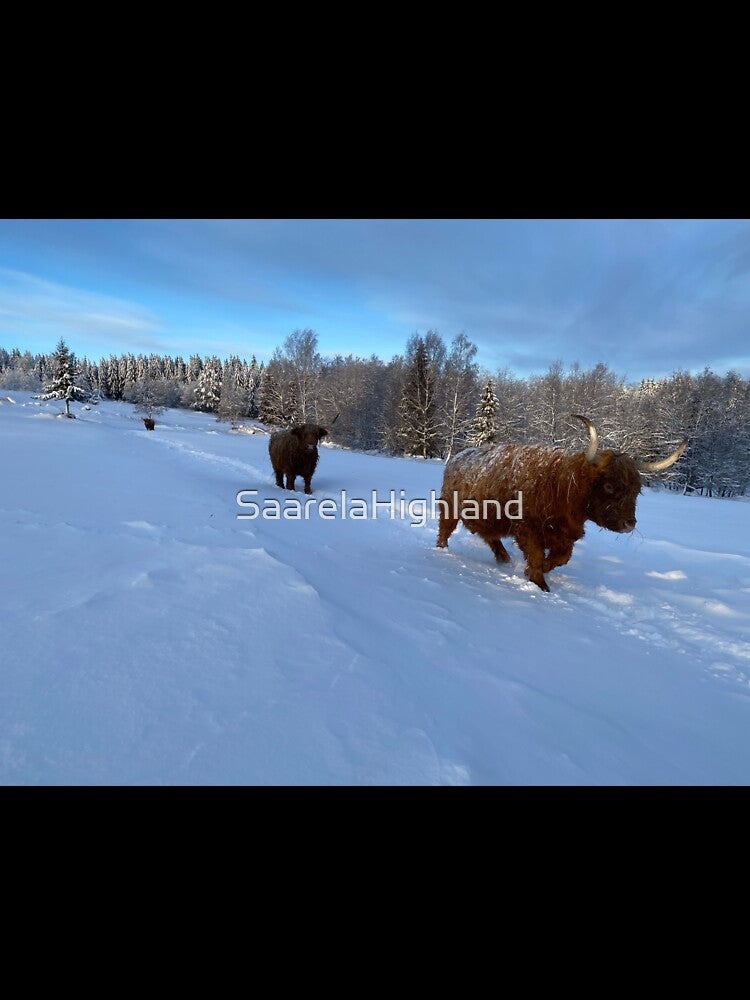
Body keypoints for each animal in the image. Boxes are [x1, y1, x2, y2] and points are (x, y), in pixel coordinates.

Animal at [436, 415, 686, 592]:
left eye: (636, 490)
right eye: (608, 486)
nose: (629, 524)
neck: (563, 485)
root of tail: (457, 457)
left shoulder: (565, 535)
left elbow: (562, 558)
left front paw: (536, 571)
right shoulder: (528, 529)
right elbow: (537, 555)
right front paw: (538, 581)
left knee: (491, 537)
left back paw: (504, 559)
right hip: (449, 508)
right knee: (445, 530)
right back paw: (442, 551)